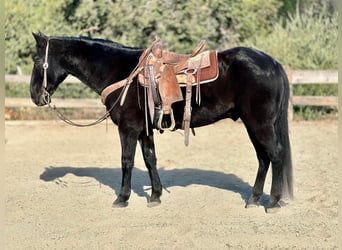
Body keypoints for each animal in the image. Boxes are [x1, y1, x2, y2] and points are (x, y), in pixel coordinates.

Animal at [30, 31, 292, 211]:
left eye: (36, 60)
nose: (34, 96)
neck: (121, 72)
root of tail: (273, 64)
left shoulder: (128, 129)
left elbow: (127, 162)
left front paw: (122, 198)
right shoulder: (144, 130)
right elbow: (150, 159)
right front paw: (155, 196)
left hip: (260, 124)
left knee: (275, 155)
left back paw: (274, 202)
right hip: (252, 125)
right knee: (263, 158)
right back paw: (254, 199)